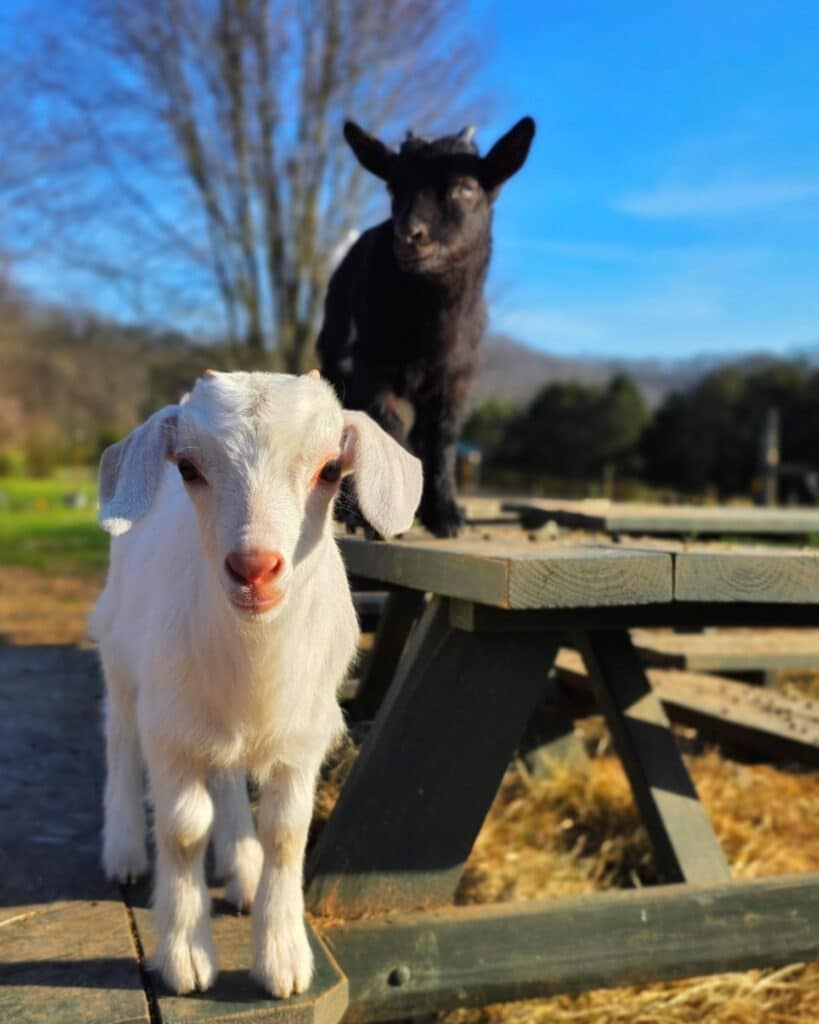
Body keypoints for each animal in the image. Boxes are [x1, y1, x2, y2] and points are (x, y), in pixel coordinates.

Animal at [90, 369, 422, 997]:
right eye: (188, 467)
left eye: (330, 470)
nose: (254, 569)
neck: (255, 653)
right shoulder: (170, 727)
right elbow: (183, 831)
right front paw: (187, 956)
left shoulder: (302, 736)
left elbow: (286, 834)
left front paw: (283, 958)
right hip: (120, 653)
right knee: (119, 741)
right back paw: (123, 851)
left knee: (226, 775)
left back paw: (242, 872)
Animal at [317, 116, 535, 537]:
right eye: (393, 186)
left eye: (465, 188)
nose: (409, 236)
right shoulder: (371, 366)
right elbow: (385, 425)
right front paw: (378, 518)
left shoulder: (459, 377)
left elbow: (441, 436)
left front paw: (447, 516)